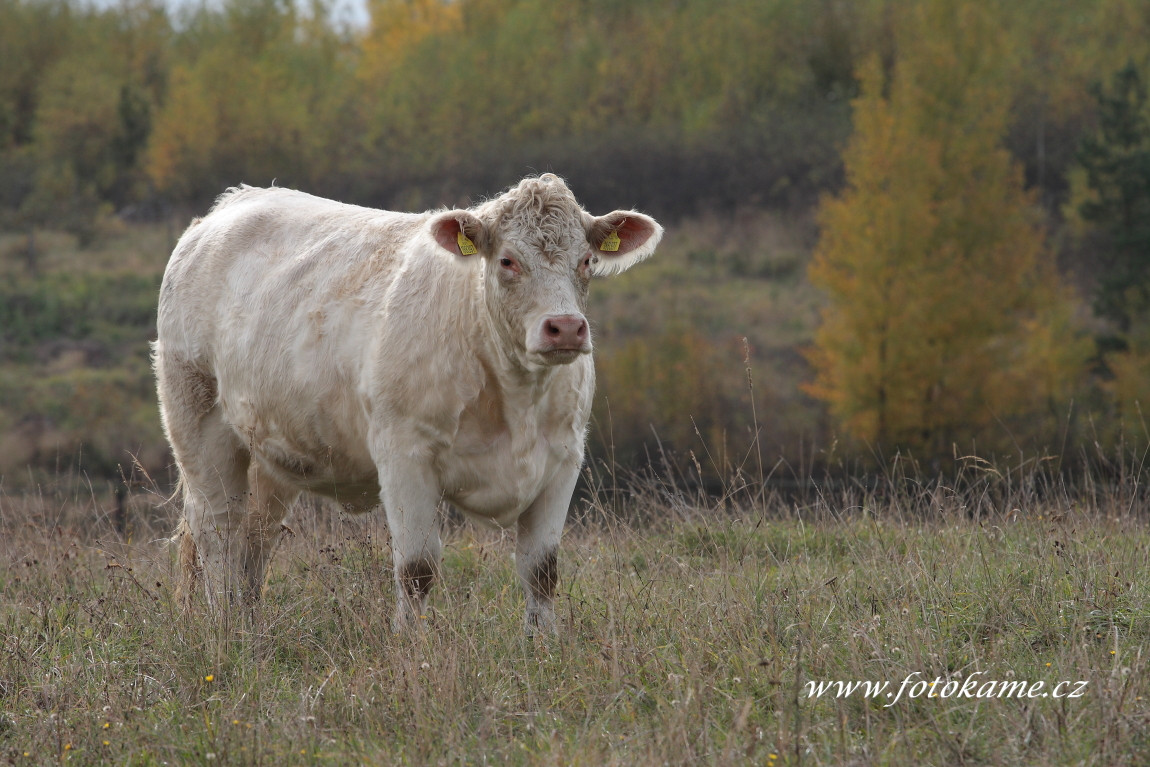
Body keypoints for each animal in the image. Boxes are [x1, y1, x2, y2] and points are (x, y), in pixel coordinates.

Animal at [150, 177, 667, 634]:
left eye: (586, 260)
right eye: (507, 260)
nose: (565, 327)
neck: (516, 398)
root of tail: (230, 204)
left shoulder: (562, 458)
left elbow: (541, 571)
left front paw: (542, 647)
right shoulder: (405, 454)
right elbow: (417, 569)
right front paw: (411, 649)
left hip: (270, 449)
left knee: (255, 536)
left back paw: (249, 627)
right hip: (197, 418)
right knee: (218, 529)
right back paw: (224, 628)